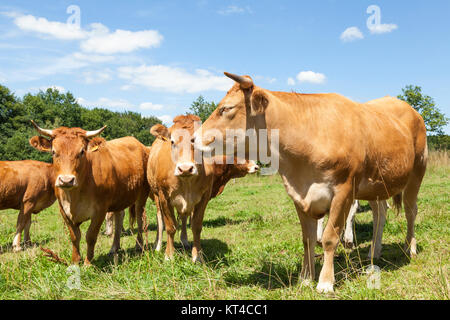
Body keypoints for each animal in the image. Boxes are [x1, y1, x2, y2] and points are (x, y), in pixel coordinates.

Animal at [29, 122, 149, 264]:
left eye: (81, 151)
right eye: (54, 152)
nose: (66, 180)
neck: (74, 197)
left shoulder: (100, 210)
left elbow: (91, 236)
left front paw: (88, 262)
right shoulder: (63, 210)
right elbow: (75, 236)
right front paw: (75, 261)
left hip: (142, 195)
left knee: (140, 219)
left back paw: (139, 245)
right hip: (120, 197)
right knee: (119, 218)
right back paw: (114, 247)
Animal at [193, 72, 426, 292]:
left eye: (226, 108)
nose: (194, 138)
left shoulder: (344, 191)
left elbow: (330, 236)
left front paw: (325, 282)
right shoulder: (299, 195)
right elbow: (308, 239)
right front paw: (305, 279)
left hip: (417, 171)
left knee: (410, 211)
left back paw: (410, 248)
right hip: (376, 184)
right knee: (380, 213)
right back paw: (374, 252)